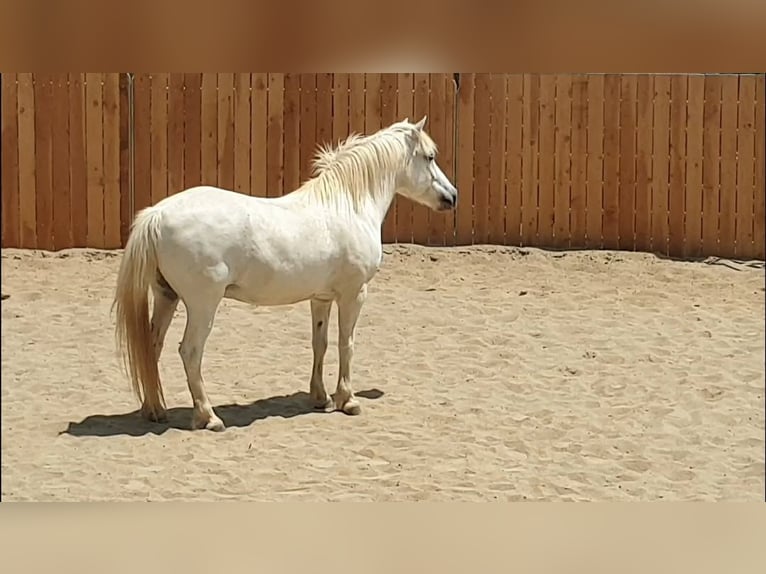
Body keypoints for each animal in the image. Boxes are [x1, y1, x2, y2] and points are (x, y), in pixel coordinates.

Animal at [112, 116, 458, 431]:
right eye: (429, 156)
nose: (452, 197)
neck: (347, 205)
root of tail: (157, 215)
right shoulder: (354, 294)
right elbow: (346, 343)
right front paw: (348, 400)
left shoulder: (321, 298)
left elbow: (321, 343)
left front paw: (320, 397)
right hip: (202, 305)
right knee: (190, 352)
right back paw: (208, 417)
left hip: (166, 297)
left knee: (151, 347)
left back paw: (155, 410)